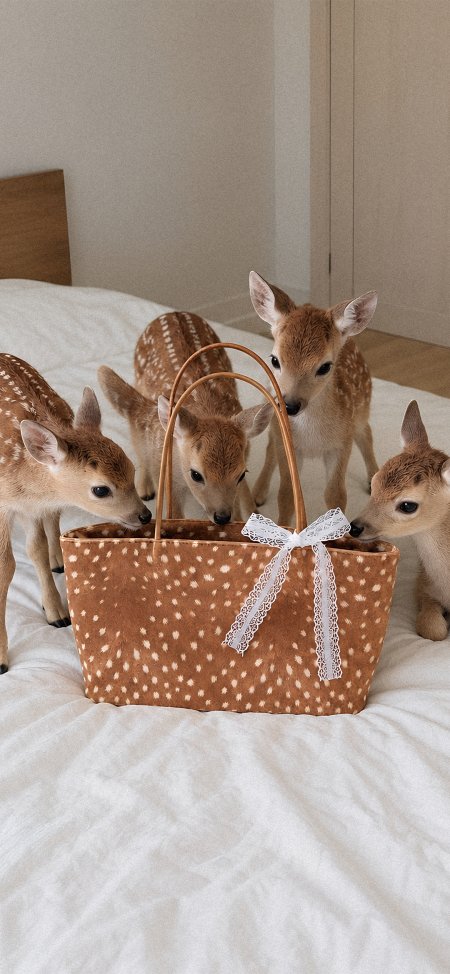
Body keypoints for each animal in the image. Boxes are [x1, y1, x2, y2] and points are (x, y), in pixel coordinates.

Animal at [0, 353, 152, 673]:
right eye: (100, 490)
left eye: (132, 469)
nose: (144, 515)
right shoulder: (7, 507)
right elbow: (7, 567)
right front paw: (1, 658)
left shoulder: (33, 506)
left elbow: (36, 550)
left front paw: (56, 612)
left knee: (51, 524)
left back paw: (58, 560)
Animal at [98, 311, 272, 525]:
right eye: (196, 474)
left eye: (240, 474)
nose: (222, 517)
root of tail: (173, 312)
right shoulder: (166, 474)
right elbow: (174, 515)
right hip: (139, 386)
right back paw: (145, 488)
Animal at [248, 271, 379, 523]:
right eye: (274, 360)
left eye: (325, 366)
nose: (290, 405)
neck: (312, 439)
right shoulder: (287, 443)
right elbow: (287, 495)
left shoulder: (341, 444)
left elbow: (336, 496)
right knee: (269, 447)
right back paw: (257, 492)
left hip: (362, 407)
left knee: (366, 433)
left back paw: (373, 479)